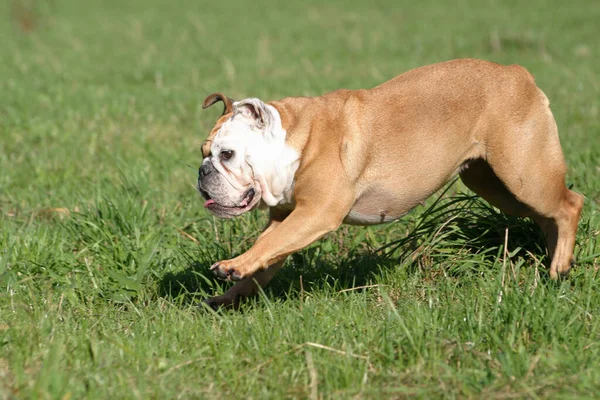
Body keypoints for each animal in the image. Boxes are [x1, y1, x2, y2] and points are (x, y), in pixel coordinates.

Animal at [197, 59, 580, 308]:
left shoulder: (316, 213)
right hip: (495, 185)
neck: (292, 140)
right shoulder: (287, 217)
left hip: (524, 175)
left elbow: (269, 244)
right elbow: (269, 250)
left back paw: (559, 267)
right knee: (547, 215)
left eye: (227, 154)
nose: (203, 172)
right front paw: (231, 295)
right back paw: (555, 265)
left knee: (569, 205)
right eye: (203, 153)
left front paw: (233, 265)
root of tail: (518, 74)